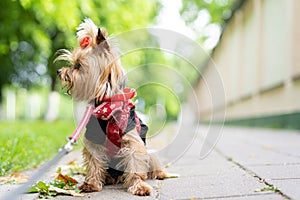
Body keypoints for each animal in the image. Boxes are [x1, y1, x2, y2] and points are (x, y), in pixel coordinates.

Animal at [55, 18, 165, 196]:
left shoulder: (132, 140)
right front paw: (91, 183)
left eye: (78, 66)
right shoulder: (93, 138)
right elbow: (94, 162)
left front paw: (138, 186)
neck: (108, 105)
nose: (59, 71)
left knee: (152, 161)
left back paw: (160, 173)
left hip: (149, 153)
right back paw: (108, 178)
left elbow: (135, 163)